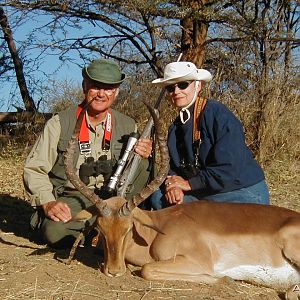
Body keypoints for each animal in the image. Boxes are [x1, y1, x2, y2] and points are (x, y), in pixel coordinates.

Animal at [64, 102, 300, 296]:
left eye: (128, 228)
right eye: (99, 229)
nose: (113, 271)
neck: (157, 230)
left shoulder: (196, 261)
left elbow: (147, 269)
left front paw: (224, 278)